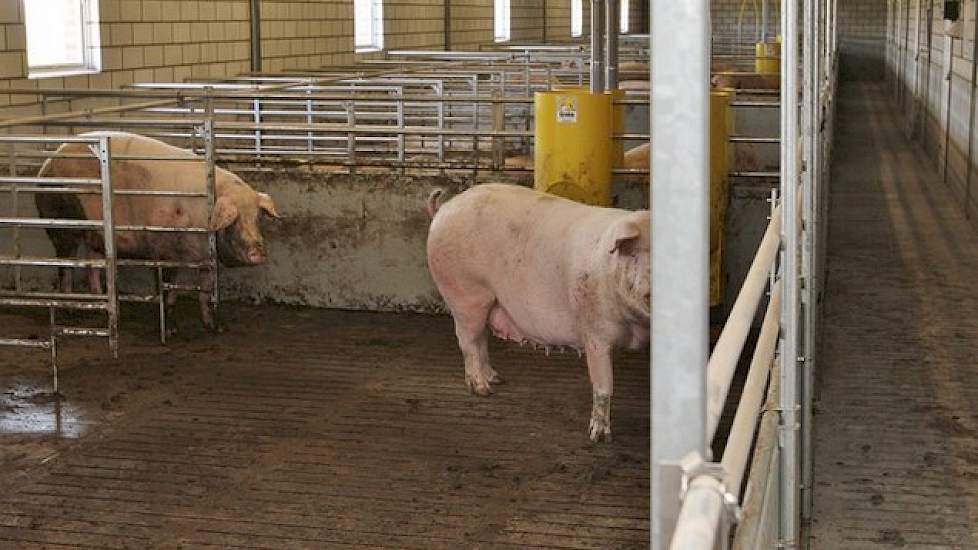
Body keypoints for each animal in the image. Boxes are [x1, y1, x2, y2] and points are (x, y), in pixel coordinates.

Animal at [34, 133, 278, 332]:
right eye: (233, 220)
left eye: (257, 217)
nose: (259, 251)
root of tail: (44, 168)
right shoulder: (163, 251)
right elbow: (168, 292)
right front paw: (171, 331)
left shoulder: (206, 259)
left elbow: (205, 292)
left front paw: (215, 327)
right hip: (61, 226)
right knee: (65, 265)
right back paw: (70, 310)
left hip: (97, 235)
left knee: (93, 265)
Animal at [426, 185, 648, 444]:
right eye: (643, 256)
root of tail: (444, 208)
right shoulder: (595, 330)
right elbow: (603, 385)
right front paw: (600, 437)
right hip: (466, 294)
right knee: (468, 342)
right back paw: (483, 389)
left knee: (480, 340)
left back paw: (496, 378)